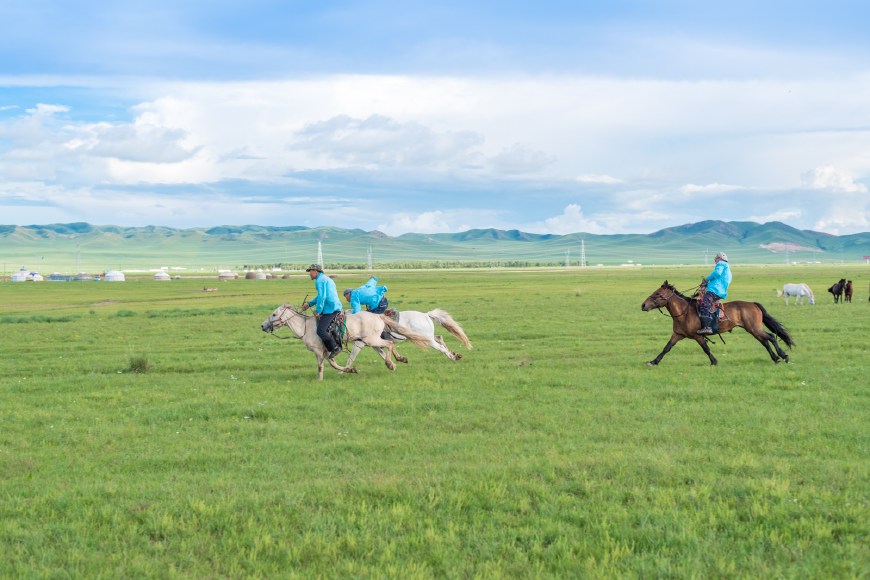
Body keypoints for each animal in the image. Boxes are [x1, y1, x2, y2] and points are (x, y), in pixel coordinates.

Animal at [262, 304, 432, 380]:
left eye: (274, 314)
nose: (263, 326)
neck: (305, 327)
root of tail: (378, 316)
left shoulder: (319, 351)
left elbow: (323, 365)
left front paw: (320, 380)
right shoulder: (326, 352)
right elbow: (333, 363)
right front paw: (350, 370)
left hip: (371, 340)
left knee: (389, 344)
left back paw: (391, 364)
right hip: (372, 341)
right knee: (387, 345)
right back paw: (397, 361)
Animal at [640, 280, 796, 368]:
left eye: (657, 293)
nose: (643, 305)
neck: (684, 312)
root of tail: (753, 304)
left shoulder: (698, 336)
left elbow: (706, 348)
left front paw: (714, 362)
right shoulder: (677, 335)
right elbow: (666, 348)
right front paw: (653, 361)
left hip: (754, 328)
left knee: (770, 337)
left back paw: (783, 356)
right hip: (752, 329)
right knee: (765, 341)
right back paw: (775, 358)